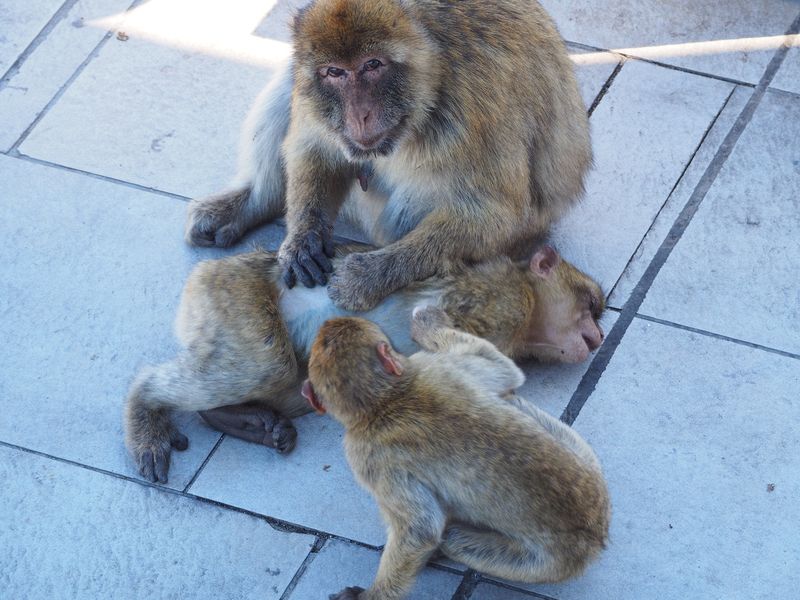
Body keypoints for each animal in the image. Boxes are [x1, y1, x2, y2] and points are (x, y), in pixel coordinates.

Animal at [125, 244, 604, 482]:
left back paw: (237, 418)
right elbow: (439, 336)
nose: (598, 338)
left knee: (286, 380)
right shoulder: (503, 302)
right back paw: (145, 403)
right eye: (591, 306)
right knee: (266, 363)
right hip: (229, 289)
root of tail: (209, 268)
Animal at [184, 0, 592, 312]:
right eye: (334, 72)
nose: (359, 115)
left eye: (373, 65)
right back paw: (254, 201)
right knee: (289, 83)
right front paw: (302, 239)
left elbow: (495, 215)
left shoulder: (477, 103)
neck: (434, 73)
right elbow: (315, 147)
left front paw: (368, 276)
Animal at [306, 310, 612, 600]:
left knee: (450, 537)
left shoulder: (367, 457)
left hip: (546, 564)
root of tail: (594, 534)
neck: (382, 401)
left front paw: (368, 595)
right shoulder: (442, 367)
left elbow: (421, 531)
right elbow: (504, 370)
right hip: (589, 465)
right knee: (510, 397)